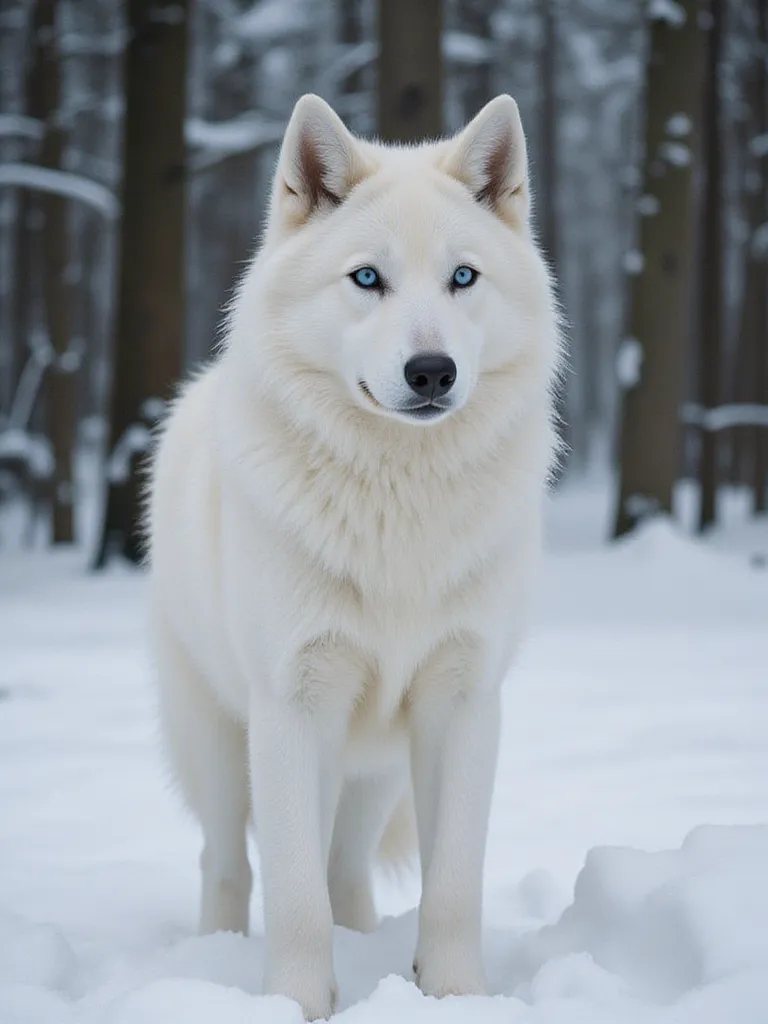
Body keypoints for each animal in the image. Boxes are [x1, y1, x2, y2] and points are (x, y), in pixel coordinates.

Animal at [146, 92, 561, 1019]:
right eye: (367, 279)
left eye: (463, 278)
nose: (432, 370)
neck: (399, 506)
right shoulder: (293, 708)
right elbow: (294, 896)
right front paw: (298, 1005)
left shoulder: (463, 704)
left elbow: (452, 887)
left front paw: (455, 996)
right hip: (222, 746)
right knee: (227, 861)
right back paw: (216, 958)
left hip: (375, 773)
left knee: (346, 871)